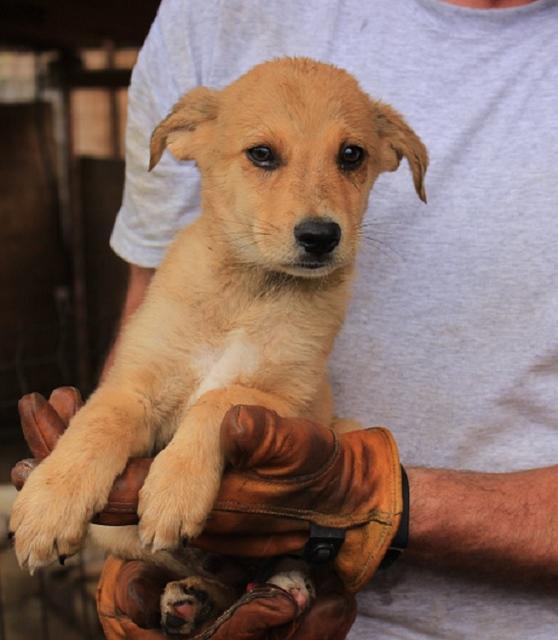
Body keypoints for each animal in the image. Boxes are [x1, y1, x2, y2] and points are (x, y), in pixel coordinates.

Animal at [9, 58, 428, 636]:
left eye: (352, 155)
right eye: (261, 154)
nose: (321, 237)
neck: (250, 294)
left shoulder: (294, 404)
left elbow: (217, 399)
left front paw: (174, 488)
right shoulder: (133, 384)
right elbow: (97, 424)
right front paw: (49, 503)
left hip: (342, 429)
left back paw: (280, 585)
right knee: (198, 571)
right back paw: (190, 598)